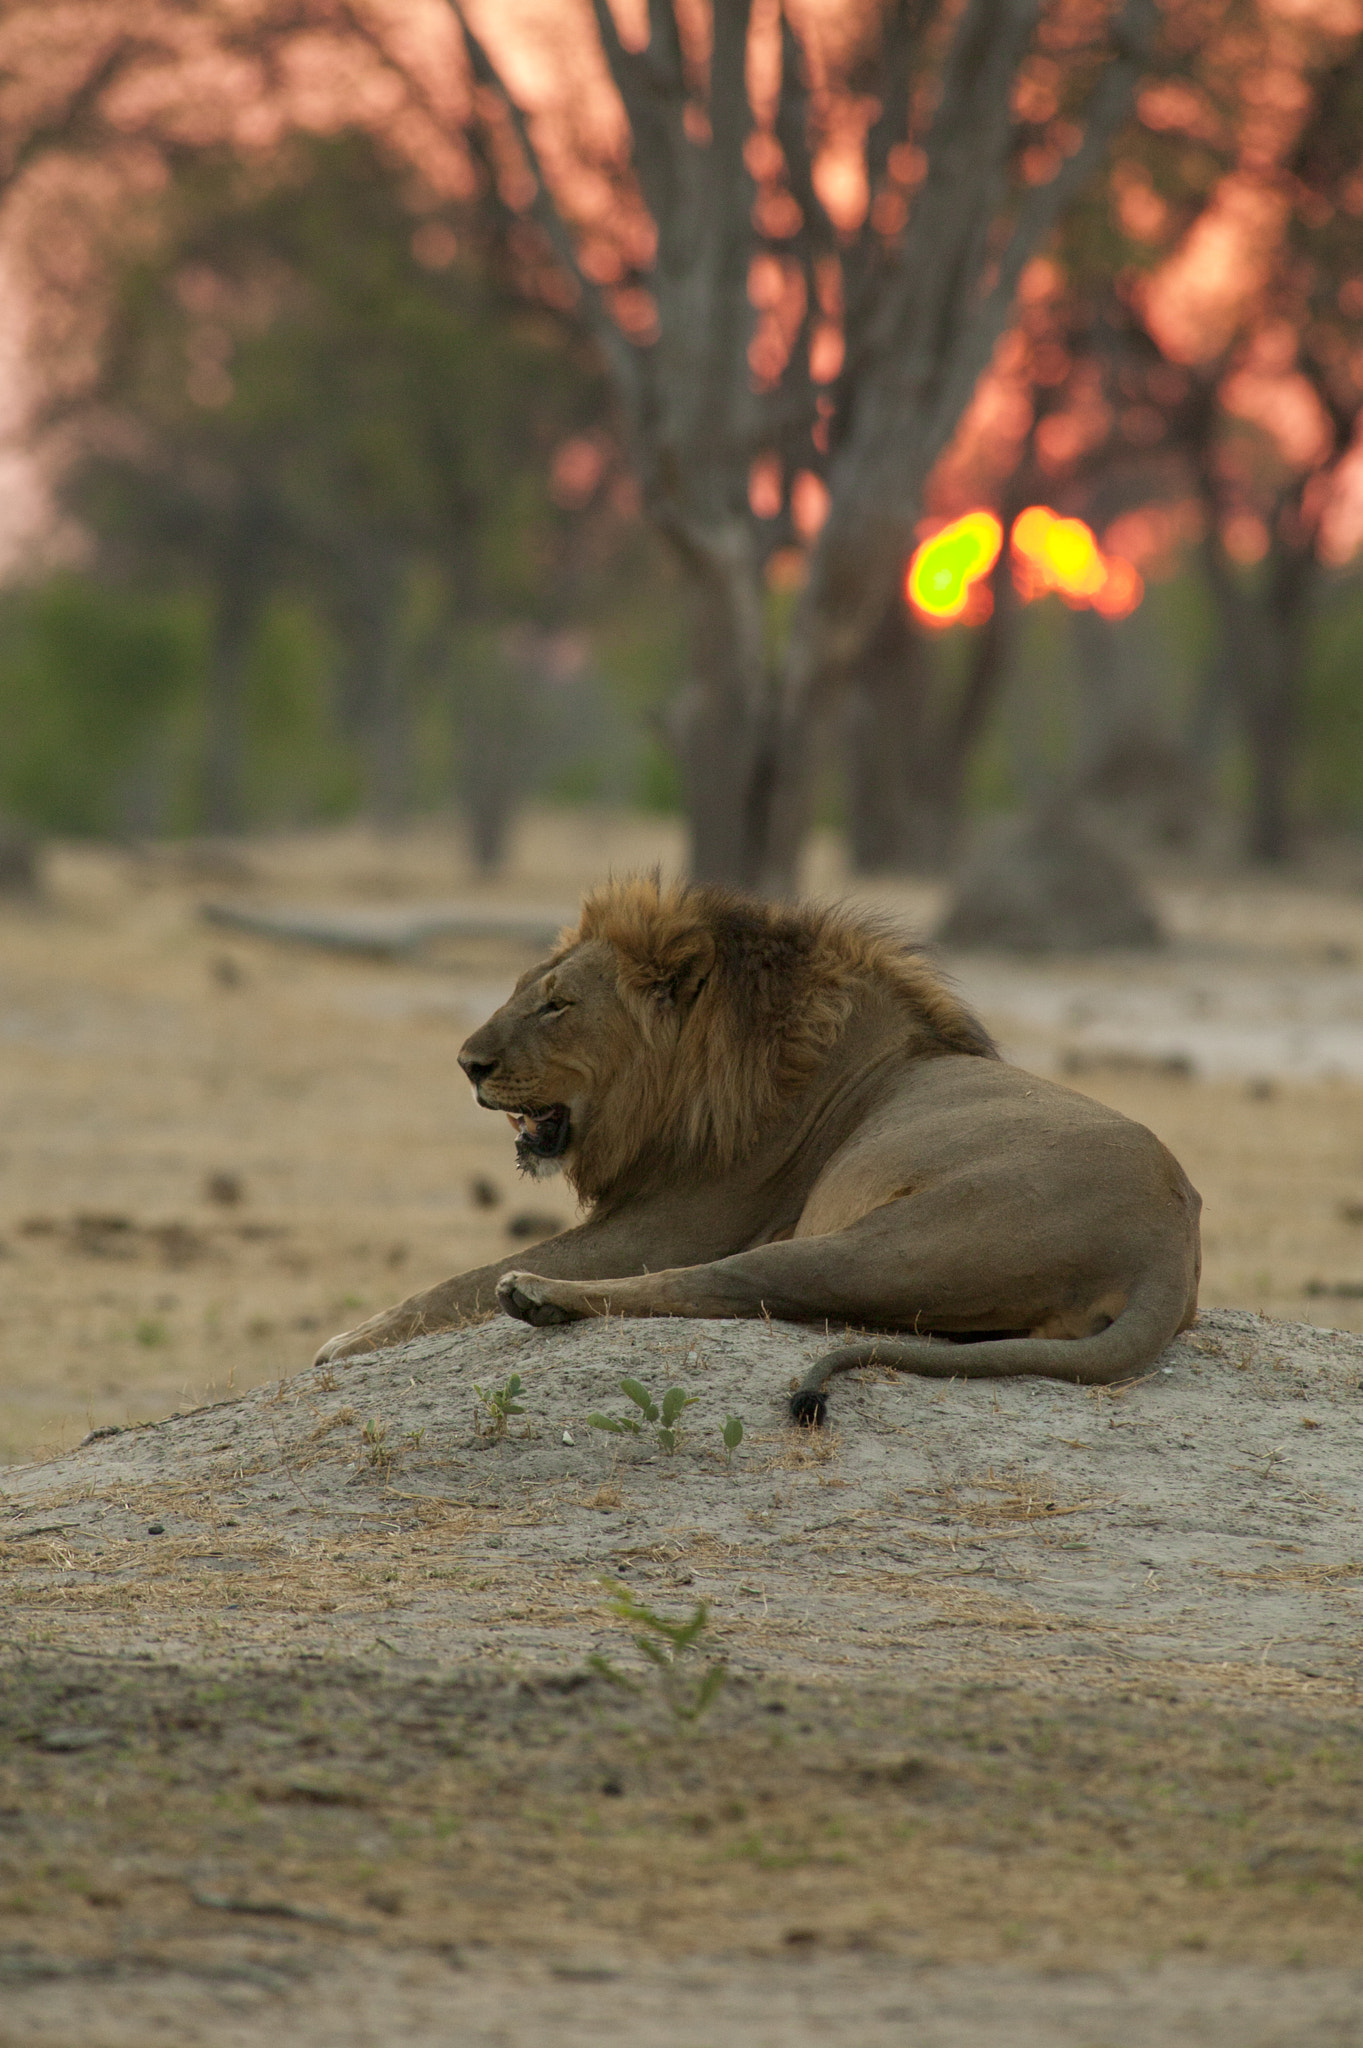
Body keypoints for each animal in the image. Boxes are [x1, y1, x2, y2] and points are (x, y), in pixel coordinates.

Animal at [313, 876, 1195, 1425]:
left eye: (557, 1004)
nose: (468, 1064)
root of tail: (1167, 1245)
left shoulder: (673, 1221)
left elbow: (457, 1281)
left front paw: (345, 1342)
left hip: (891, 1238)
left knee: (718, 1286)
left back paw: (538, 1296)